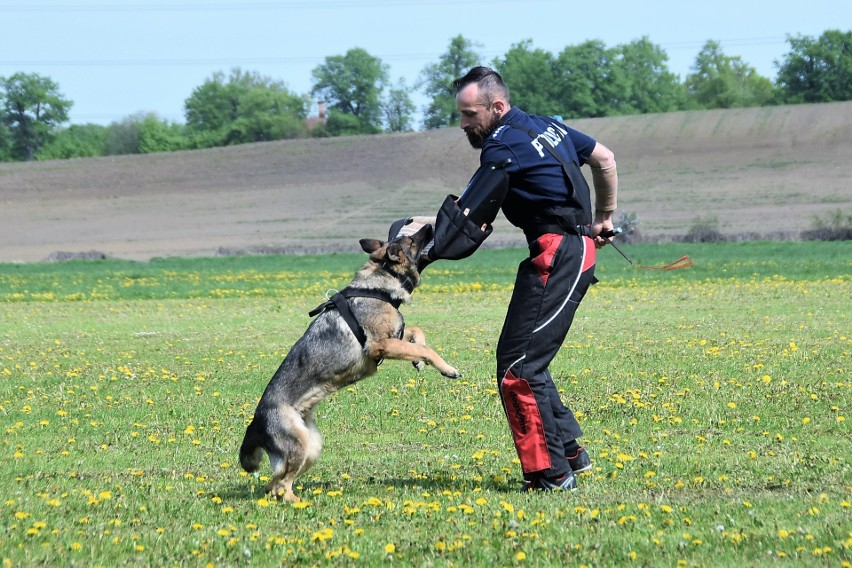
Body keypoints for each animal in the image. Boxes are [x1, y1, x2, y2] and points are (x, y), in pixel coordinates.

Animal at [236, 224, 462, 500]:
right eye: (411, 240)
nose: (430, 225)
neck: (379, 285)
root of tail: (256, 423)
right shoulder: (380, 345)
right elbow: (426, 349)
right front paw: (447, 368)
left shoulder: (393, 337)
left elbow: (417, 334)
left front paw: (418, 361)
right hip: (299, 447)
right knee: (282, 485)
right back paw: (298, 502)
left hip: (312, 448)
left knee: (274, 483)